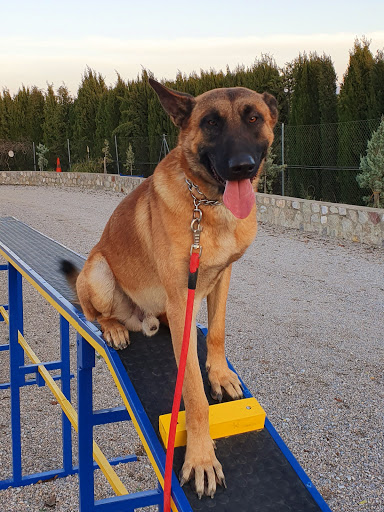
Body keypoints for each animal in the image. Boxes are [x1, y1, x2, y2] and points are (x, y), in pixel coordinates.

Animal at [61, 78, 278, 498]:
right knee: (93, 311)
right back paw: (113, 328)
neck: (205, 202)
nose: (242, 165)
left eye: (254, 118)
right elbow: (191, 391)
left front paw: (220, 374)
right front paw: (201, 457)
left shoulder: (221, 278)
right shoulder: (182, 297)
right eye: (210, 122)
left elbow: (217, 333)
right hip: (98, 271)